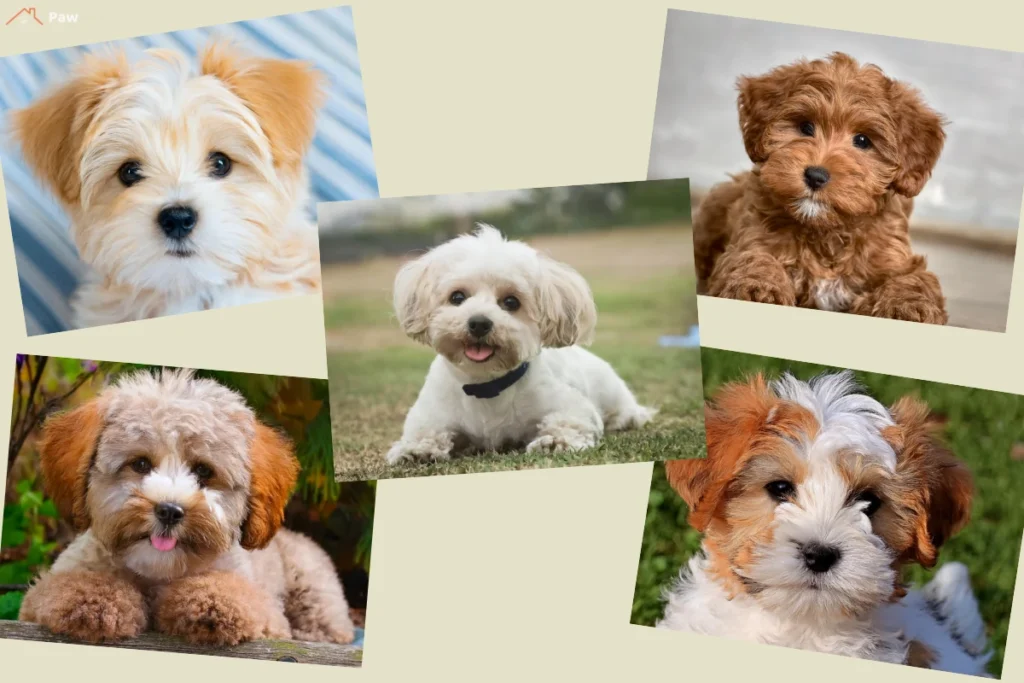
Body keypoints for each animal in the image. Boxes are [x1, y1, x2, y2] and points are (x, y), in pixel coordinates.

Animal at [18, 370, 356, 651]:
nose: (169, 511)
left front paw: (210, 603)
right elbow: (73, 586)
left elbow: (234, 594)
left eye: (204, 471)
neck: (157, 573)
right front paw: (94, 599)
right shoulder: (39, 597)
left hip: (314, 586)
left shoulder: (268, 614)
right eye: (140, 464)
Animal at [385, 224, 655, 464]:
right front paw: (416, 450)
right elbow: (424, 432)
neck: (486, 386)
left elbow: (568, 422)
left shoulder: (574, 407)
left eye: (511, 302)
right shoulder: (430, 413)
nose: (479, 323)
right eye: (457, 297)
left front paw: (553, 441)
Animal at [696, 52, 950, 325]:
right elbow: (752, 259)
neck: (824, 230)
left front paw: (906, 307)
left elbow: (912, 280)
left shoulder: (897, 257)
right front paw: (757, 288)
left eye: (862, 140)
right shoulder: (751, 237)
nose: (816, 176)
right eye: (806, 127)